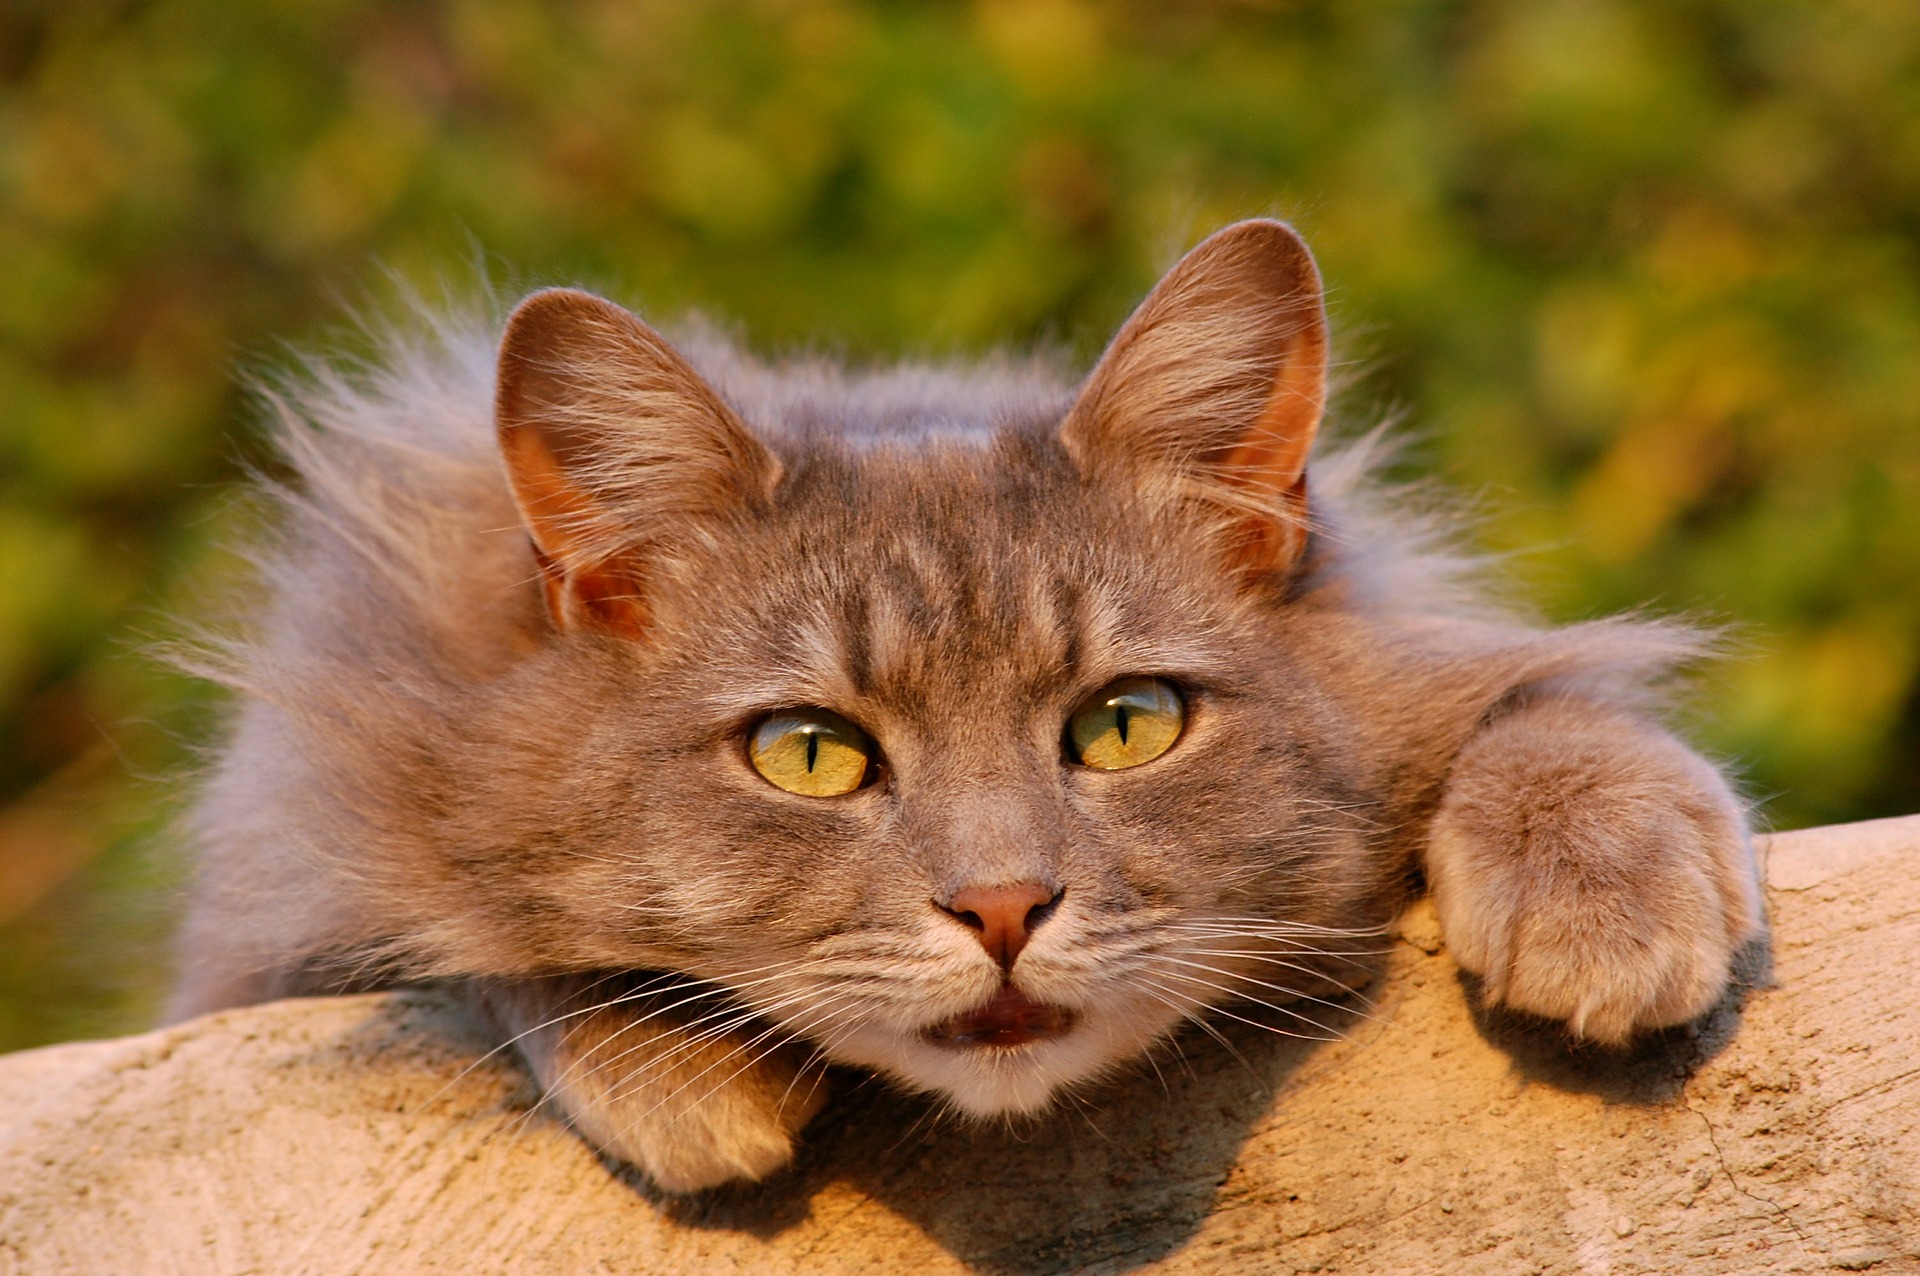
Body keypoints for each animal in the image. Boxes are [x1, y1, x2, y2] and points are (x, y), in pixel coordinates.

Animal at [172, 221, 1758, 1197]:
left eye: (1127, 724)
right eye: (810, 755)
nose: (1002, 910)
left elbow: (1549, 707)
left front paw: (1604, 891)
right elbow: (469, 946)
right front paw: (673, 1066)